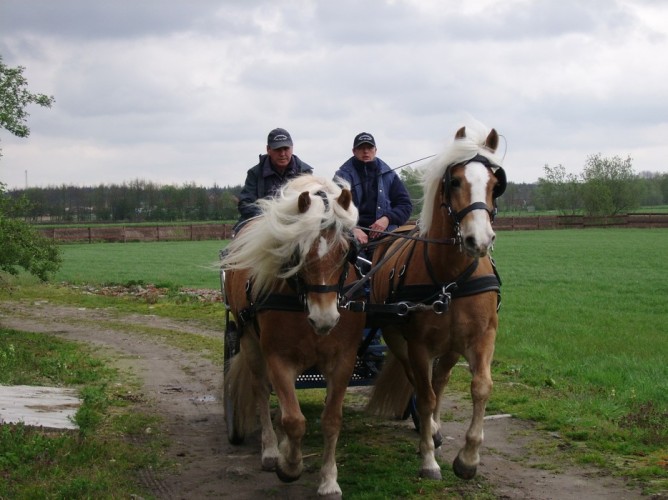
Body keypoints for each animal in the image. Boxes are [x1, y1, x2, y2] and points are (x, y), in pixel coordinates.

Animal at [219, 174, 366, 498]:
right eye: (299, 251)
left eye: (345, 252)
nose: (325, 319)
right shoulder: (278, 358)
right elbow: (294, 420)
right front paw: (289, 466)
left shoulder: (343, 361)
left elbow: (331, 420)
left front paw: (329, 481)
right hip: (249, 342)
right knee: (261, 391)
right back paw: (272, 450)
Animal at [366, 124, 506, 480]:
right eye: (454, 181)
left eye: (494, 184)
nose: (478, 240)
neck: (451, 279)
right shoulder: (418, 345)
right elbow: (425, 395)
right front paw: (428, 460)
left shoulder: (483, 336)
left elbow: (481, 387)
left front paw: (468, 459)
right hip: (397, 338)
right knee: (420, 383)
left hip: (452, 345)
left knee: (440, 381)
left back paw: (437, 430)